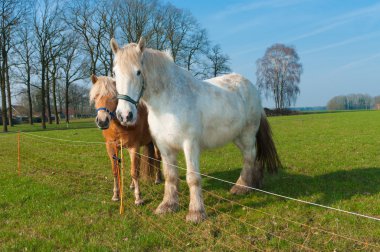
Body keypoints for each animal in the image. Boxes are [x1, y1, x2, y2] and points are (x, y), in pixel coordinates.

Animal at [89, 75, 162, 205]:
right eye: (95, 96)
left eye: (114, 96)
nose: (102, 121)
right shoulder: (111, 147)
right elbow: (116, 171)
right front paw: (116, 195)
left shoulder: (134, 147)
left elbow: (134, 172)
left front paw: (138, 198)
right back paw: (133, 185)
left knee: (157, 158)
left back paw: (158, 179)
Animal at [111, 37, 280, 222]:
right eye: (115, 73)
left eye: (138, 72)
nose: (125, 115)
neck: (167, 102)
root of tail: (251, 87)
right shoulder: (165, 147)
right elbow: (170, 176)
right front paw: (168, 205)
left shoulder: (190, 145)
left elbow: (192, 178)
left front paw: (196, 212)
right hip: (238, 137)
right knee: (251, 156)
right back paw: (253, 184)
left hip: (247, 134)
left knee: (249, 157)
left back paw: (241, 187)